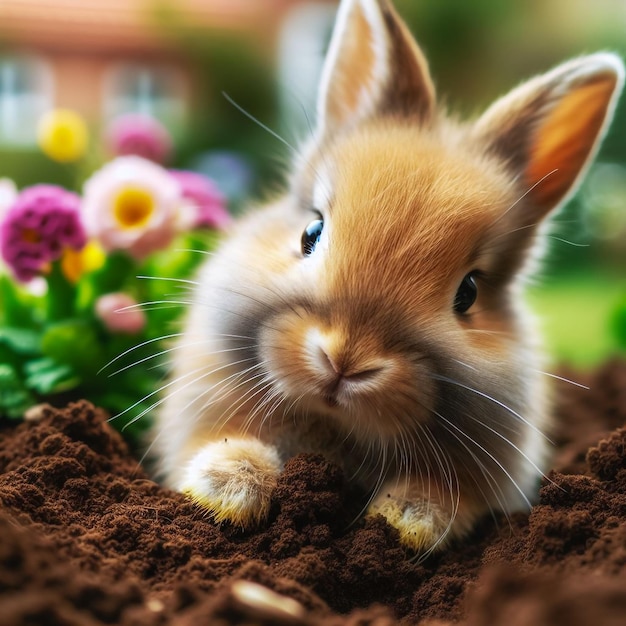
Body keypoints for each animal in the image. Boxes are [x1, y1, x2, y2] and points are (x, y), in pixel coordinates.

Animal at [150, 0, 620, 552]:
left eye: (468, 292)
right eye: (311, 231)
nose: (344, 361)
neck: (331, 427)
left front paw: (407, 521)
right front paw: (227, 492)